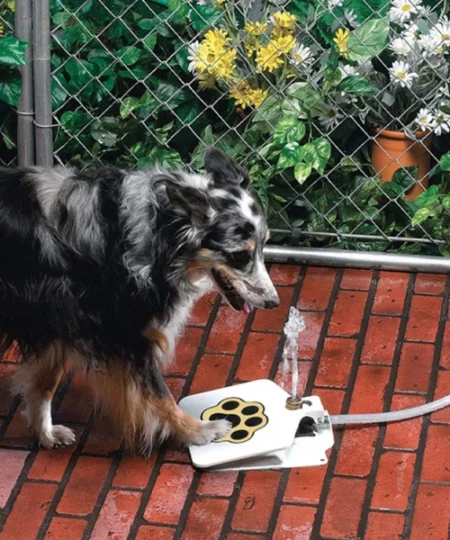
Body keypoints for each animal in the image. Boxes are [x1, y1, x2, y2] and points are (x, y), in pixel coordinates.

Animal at [0, 147, 280, 452]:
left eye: (264, 246)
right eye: (239, 255)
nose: (274, 303)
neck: (158, 229)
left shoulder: (58, 320)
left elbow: (44, 382)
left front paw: (46, 433)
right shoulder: (123, 335)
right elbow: (160, 394)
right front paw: (197, 431)